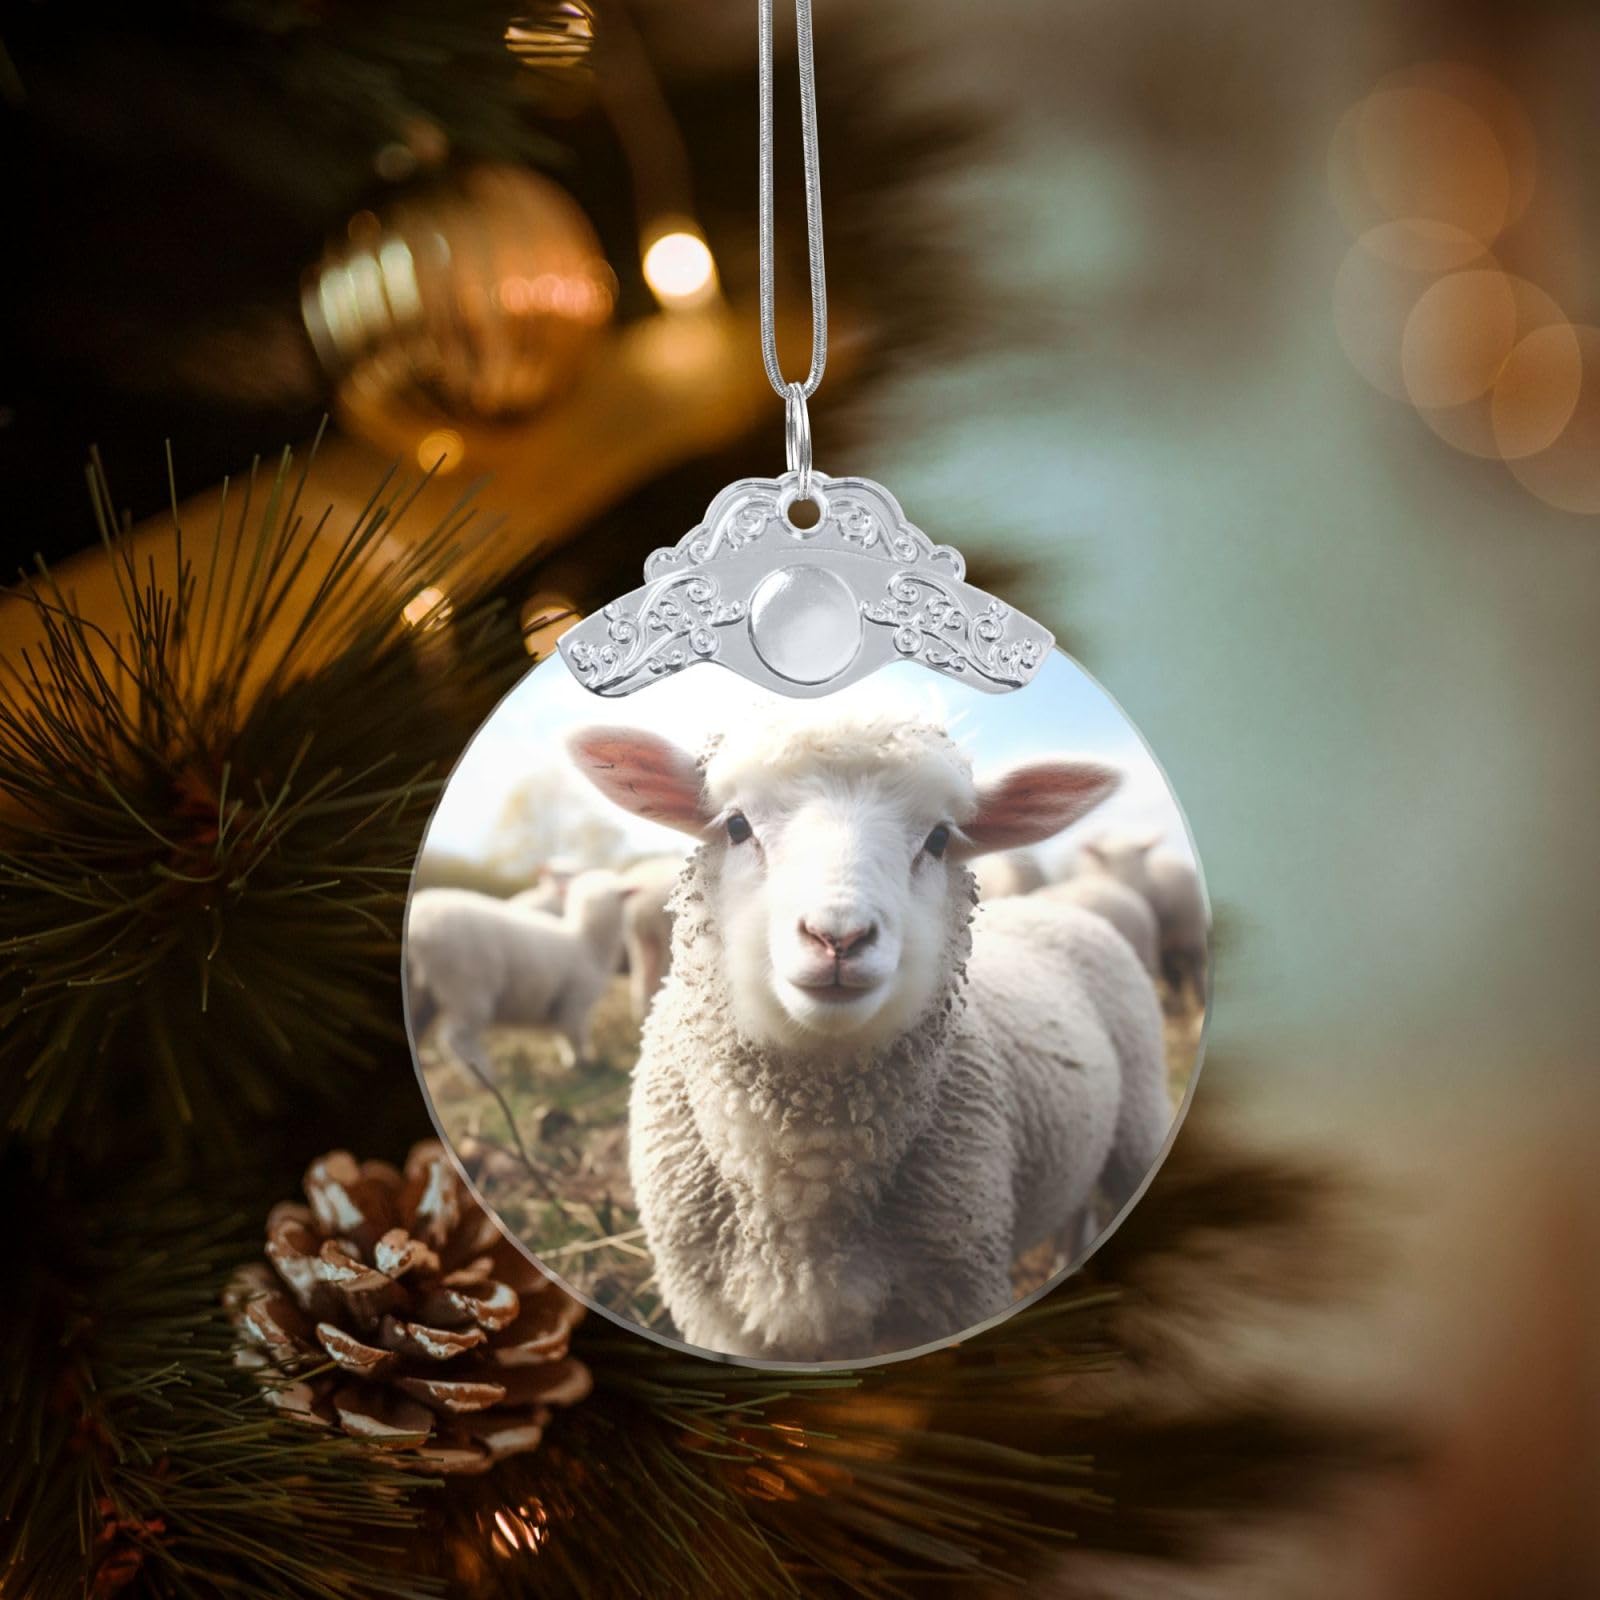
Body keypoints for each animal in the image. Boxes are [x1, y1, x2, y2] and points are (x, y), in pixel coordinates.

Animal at [406, 870, 633, 1084]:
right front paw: (581, 1062)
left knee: (419, 1027)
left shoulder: (563, 1005)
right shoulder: (576, 1002)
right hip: (465, 986)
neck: (587, 942)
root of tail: (417, 926)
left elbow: (563, 1033)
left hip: (422, 994)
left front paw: (572, 1061)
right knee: (457, 1038)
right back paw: (486, 1078)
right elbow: (574, 1035)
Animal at [566, 704, 1171, 1363]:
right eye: (736, 826)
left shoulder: (953, 1287)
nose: (839, 937)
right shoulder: (713, 1314)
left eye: (939, 838)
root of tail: (1053, 906)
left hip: (1138, 1129)